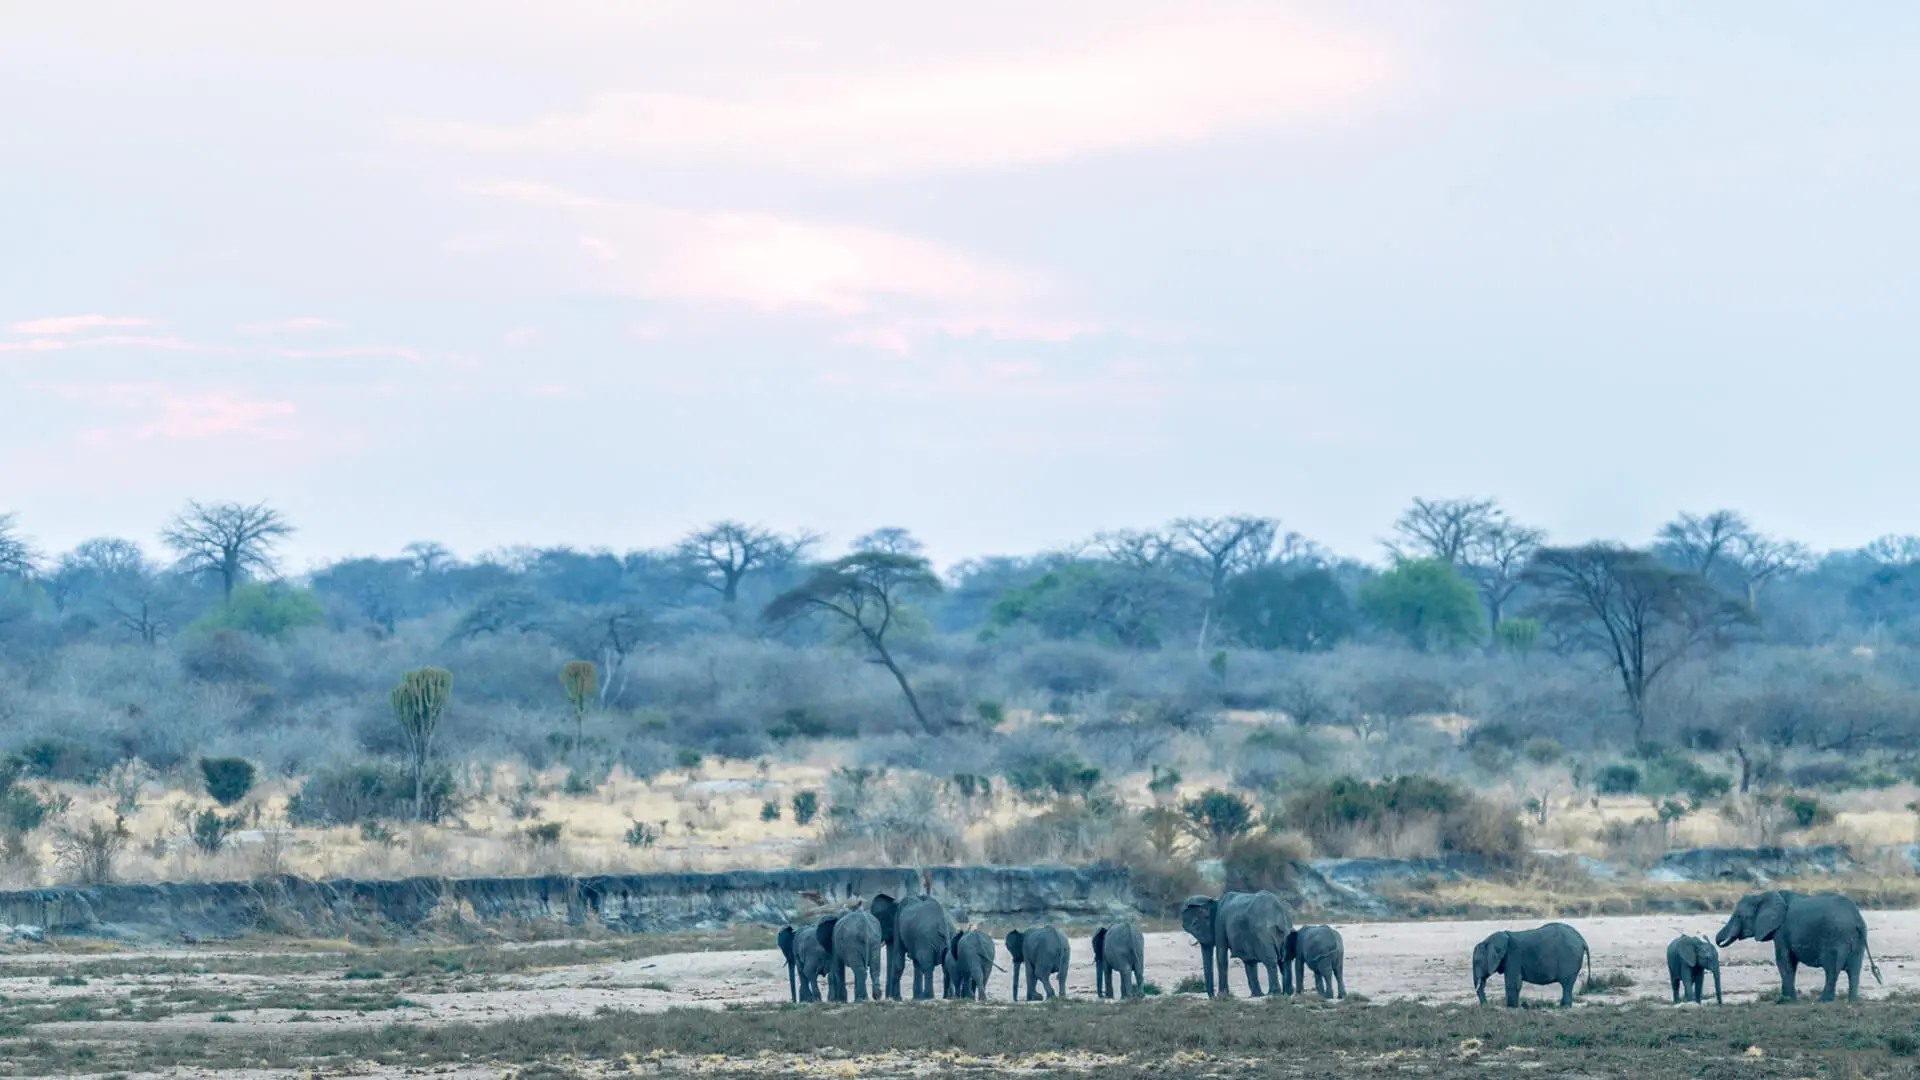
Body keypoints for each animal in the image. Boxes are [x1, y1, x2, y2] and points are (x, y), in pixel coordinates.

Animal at [1715, 890, 1882, 1002]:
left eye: (1738, 916)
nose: (1718, 940)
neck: (1763, 895)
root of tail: (1857, 919)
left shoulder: (1781, 931)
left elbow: (1783, 961)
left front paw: (1787, 1002)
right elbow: (1790, 963)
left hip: (1837, 937)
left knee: (1832, 969)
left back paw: (1824, 1001)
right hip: (1858, 940)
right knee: (1854, 970)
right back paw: (1852, 1001)